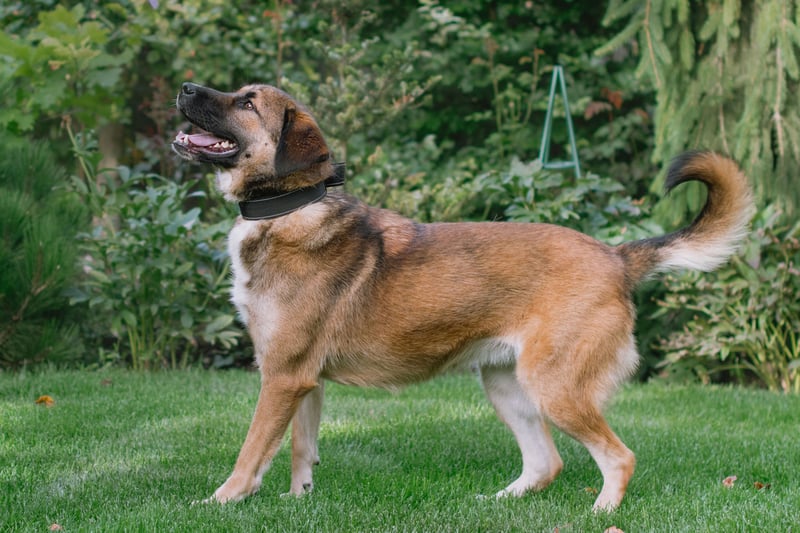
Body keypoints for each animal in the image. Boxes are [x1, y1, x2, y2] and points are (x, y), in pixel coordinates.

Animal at [172, 81, 753, 510]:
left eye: (247, 103)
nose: (186, 87)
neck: (289, 208)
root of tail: (615, 257)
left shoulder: (282, 377)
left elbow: (251, 454)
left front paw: (220, 501)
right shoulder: (302, 380)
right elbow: (300, 450)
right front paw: (299, 502)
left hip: (555, 387)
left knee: (618, 457)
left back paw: (601, 512)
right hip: (506, 386)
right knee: (546, 463)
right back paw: (497, 503)